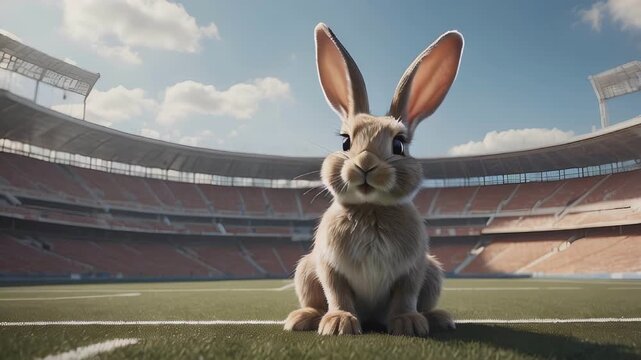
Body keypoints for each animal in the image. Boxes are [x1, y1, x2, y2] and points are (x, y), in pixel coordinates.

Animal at [284, 23, 460, 338]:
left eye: (399, 145)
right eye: (345, 142)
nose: (365, 164)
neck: (371, 208)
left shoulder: (412, 270)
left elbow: (405, 295)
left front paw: (408, 323)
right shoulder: (330, 267)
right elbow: (337, 293)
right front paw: (339, 323)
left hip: (433, 273)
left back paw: (438, 317)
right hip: (305, 271)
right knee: (315, 300)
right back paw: (303, 318)